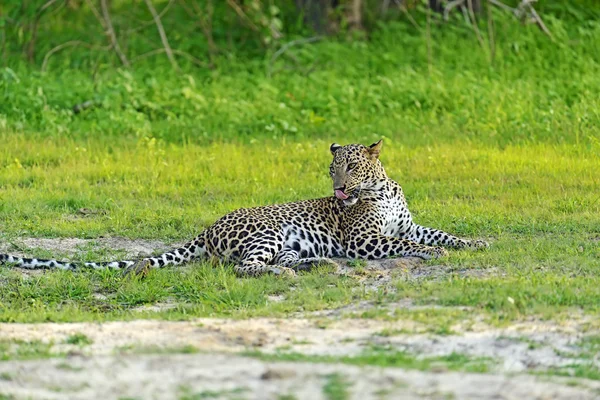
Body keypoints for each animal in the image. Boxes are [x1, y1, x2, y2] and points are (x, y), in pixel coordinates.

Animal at [0, 141, 488, 278]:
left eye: (349, 166)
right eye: (332, 169)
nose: (338, 189)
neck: (382, 189)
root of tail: (208, 226)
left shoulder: (407, 224)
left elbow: (435, 232)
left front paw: (473, 243)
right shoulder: (361, 239)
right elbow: (401, 243)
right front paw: (434, 254)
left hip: (287, 241)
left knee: (278, 259)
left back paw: (315, 264)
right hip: (266, 232)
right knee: (244, 267)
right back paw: (292, 273)